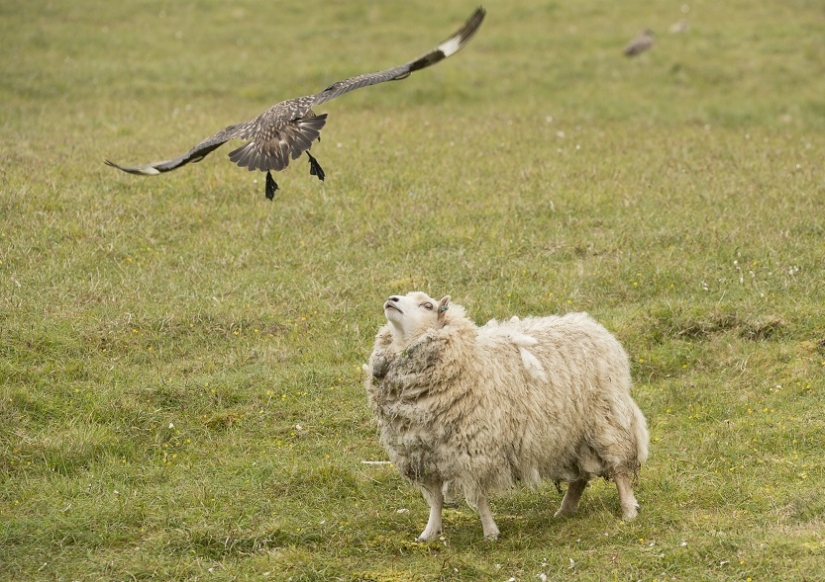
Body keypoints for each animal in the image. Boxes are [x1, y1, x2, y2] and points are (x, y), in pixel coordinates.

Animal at [364, 291, 649, 541]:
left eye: (427, 305)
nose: (392, 300)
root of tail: (592, 325)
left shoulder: (474, 451)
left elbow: (479, 497)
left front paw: (490, 532)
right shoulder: (424, 455)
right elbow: (435, 499)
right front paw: (429, 533)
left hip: (605, 420)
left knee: (618, 468)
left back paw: (628, 510)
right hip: (567, 436)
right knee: (579, 477)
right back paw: (565, 511)